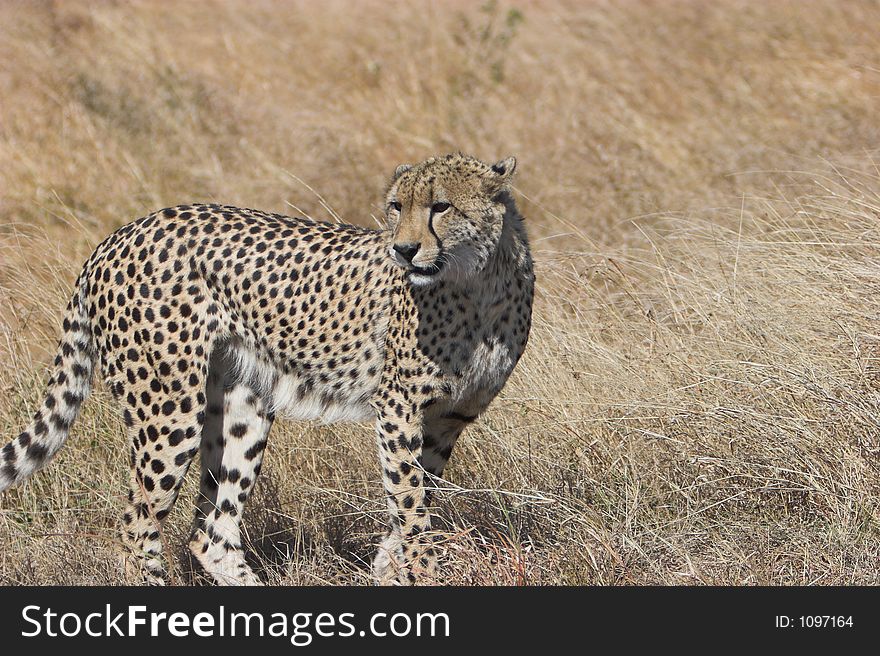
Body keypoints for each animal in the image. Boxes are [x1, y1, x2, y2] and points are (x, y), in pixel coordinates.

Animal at [0, 152, 536, 584]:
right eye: (396, 207)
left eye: (440, 207)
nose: (402, 250)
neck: (479, 282)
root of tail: (118, 235)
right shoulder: (398, 409)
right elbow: (411, 507)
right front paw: (420, 573)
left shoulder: (448, 420)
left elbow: (414, 502)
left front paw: (389, 570)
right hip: (170, 410)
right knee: (138, 523)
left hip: (244, 404)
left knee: (211, 534)